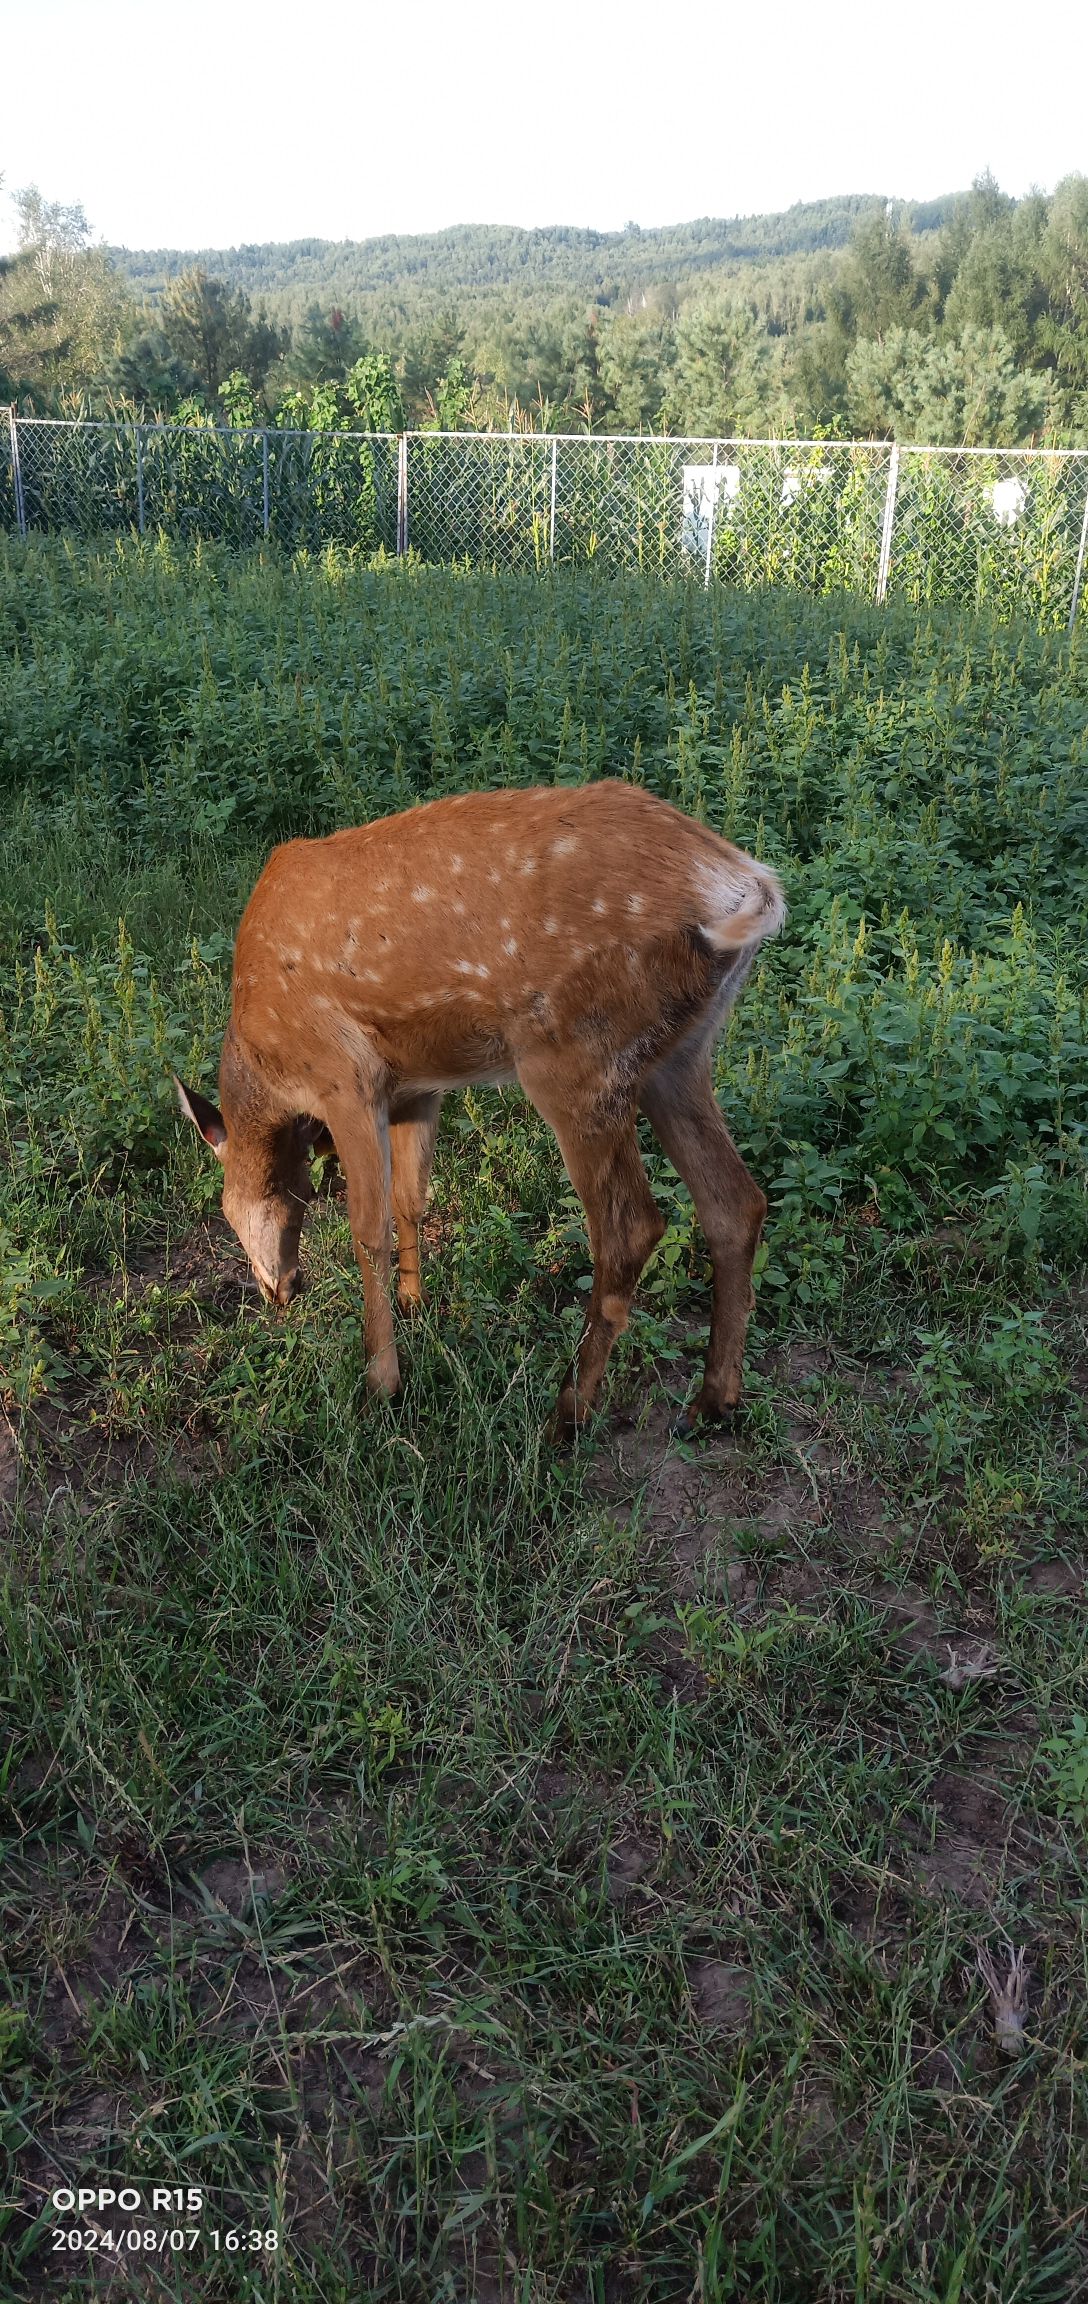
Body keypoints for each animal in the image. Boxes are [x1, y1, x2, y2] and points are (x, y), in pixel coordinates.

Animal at [175, 780, 784, 1434]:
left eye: (227, 1210)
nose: (278, 1291)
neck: (268, 1067)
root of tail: (748, 886)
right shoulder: (415, 1087)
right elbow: (411, 1197)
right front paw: (415, 1306)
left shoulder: (345, 1077)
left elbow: (367, 1228)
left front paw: (381, 1384)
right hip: (682, 1055)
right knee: (735, 1202)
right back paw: (713, 1400)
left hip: (575, 1057)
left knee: (631, 1228)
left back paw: (568, 1410)